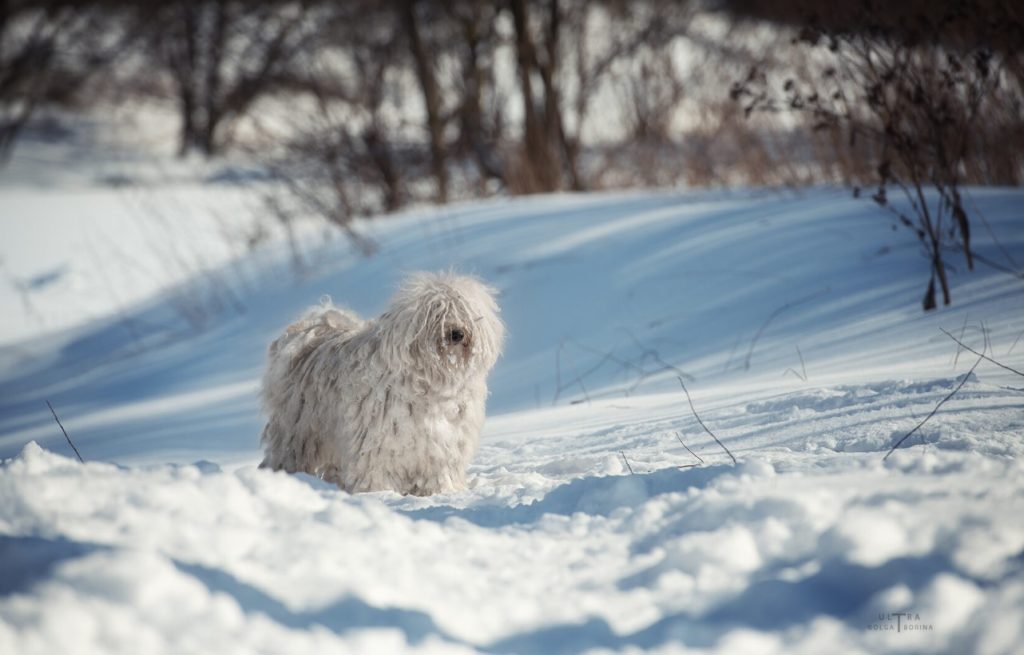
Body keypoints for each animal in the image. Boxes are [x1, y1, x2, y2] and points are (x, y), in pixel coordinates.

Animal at [260, 272, 503, 495]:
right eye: (436, 311)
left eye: (464, 310)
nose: (456, 333)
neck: (432, 384)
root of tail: (313, 330)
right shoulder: (375, 440)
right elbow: (374, 468)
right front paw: (377, 492)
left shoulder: (444, 444)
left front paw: (442, 490)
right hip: (298, 431)